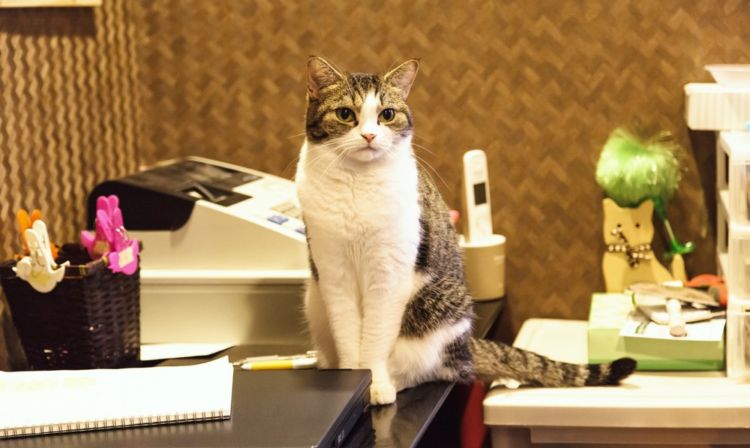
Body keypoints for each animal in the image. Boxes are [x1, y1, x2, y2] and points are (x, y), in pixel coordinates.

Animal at [294, 57, 636, 406]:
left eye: (386, 114)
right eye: (345, 114)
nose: (368, 136)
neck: (358, 183)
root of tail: (468, 345)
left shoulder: (388, 276)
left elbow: (375, 338)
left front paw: (374, 383)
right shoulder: (334, 274)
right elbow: (349, 337)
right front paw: (352, 380)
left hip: (440, 312)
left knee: (434, 370)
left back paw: (396, 381)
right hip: (314, 299)